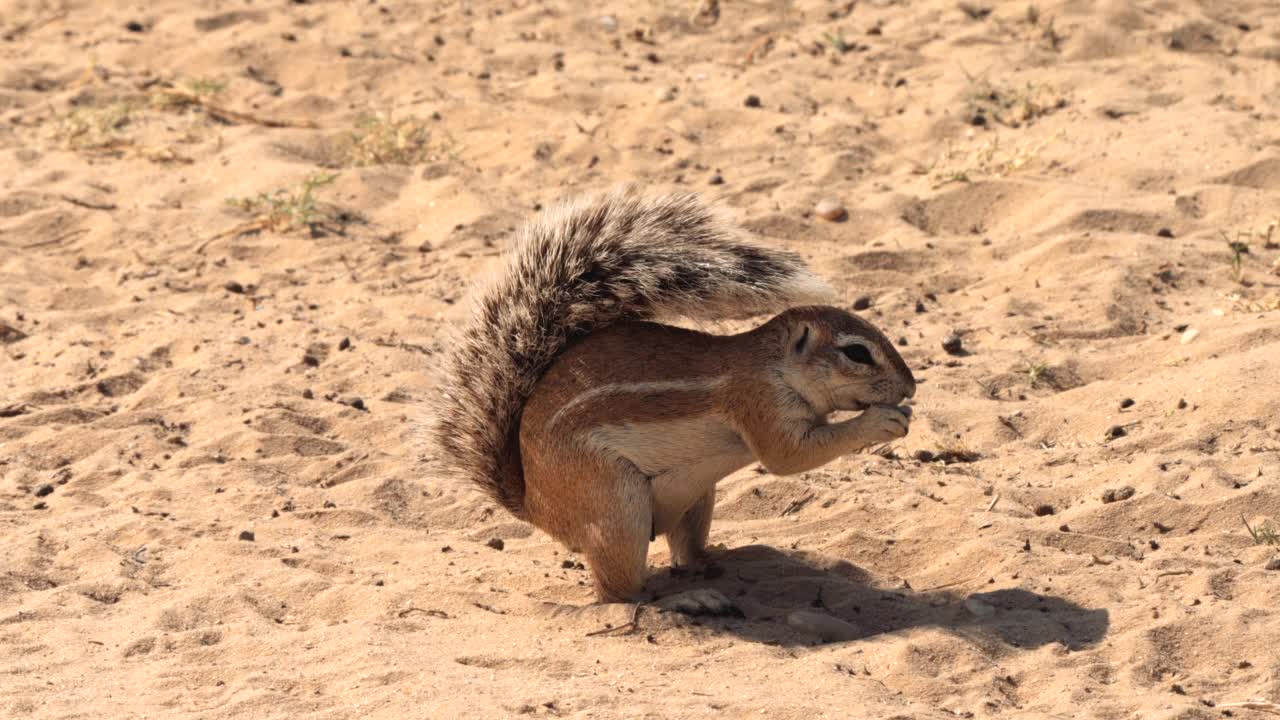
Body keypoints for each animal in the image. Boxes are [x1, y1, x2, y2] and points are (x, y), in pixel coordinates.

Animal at [435, 184, 916, 599]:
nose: (910, 386)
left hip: (697, 497)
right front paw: (879, 421)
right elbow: (788, 458)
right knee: (620, 593)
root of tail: (536, 507)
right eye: (856, 352)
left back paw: (717, 562)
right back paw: (688, 600)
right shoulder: (760, 404)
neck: (772, 364)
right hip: (617, 504)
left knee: (684, 553)